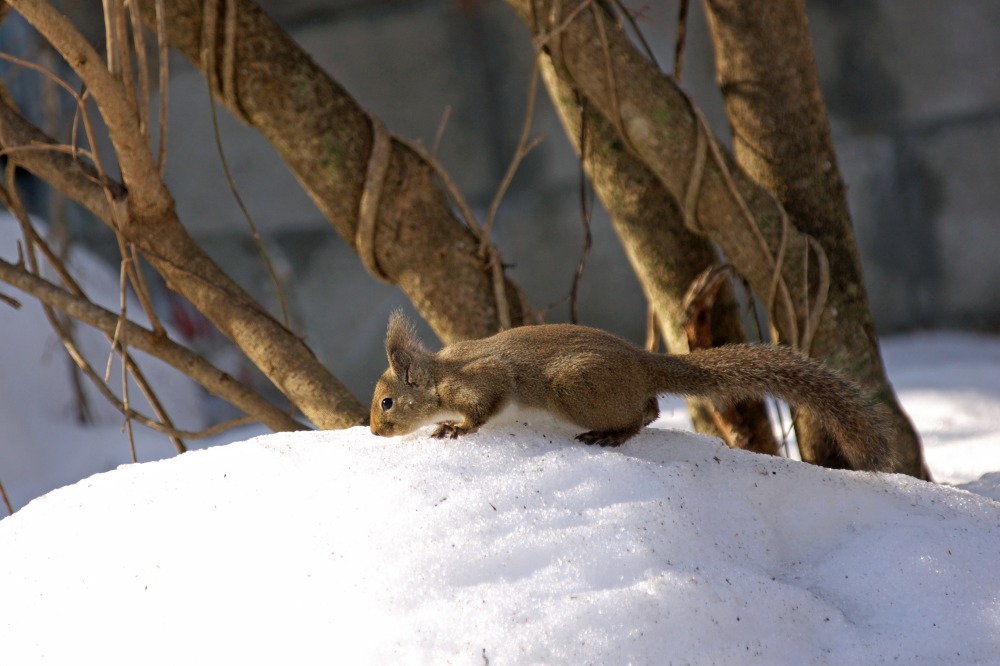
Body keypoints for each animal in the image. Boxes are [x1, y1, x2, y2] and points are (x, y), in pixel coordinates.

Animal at [366, 312, 892, 472]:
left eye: (387, 402)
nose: (373, 432)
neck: (438, 376)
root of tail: (643, 363)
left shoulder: (481, 379)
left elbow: (483, 407)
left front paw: (455, 429)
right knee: (654, 408)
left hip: (574, 389)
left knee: (643, 414)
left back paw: (611, 435)